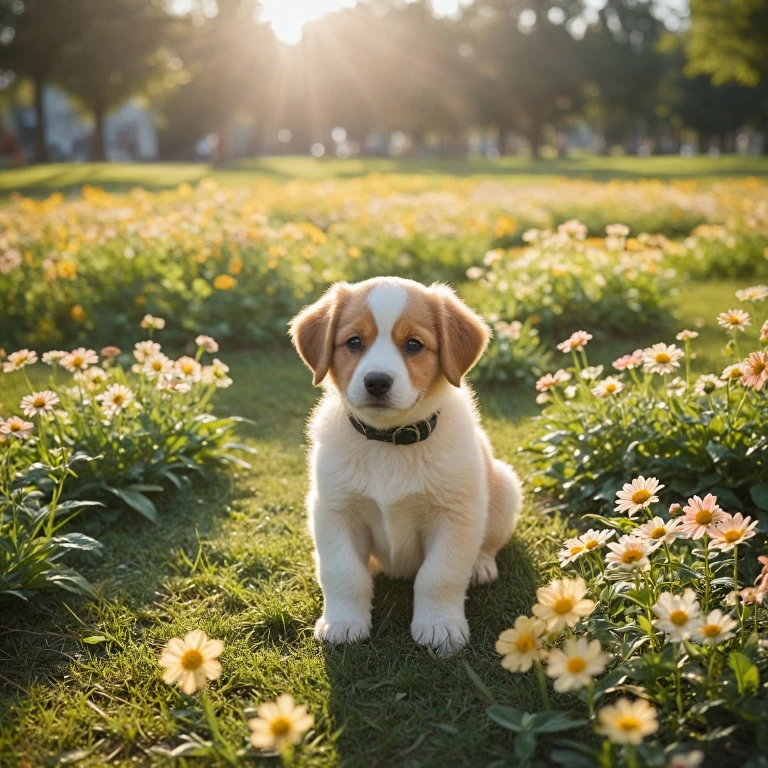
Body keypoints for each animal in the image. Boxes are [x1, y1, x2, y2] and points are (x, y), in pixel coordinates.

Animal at [290, 276, 520, 656]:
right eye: (354, 342)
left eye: (413, 345)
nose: (376, 381)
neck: (390, 442)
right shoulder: (333, 511)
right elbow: (343, 572)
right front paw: (344, 623)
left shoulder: (455, 515)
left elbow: (439, 576)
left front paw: (440, 626)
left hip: (505, 486)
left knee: (487, 545)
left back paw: (481, 566)